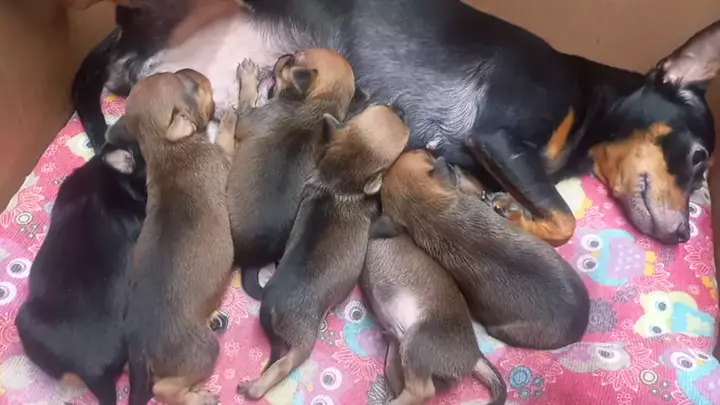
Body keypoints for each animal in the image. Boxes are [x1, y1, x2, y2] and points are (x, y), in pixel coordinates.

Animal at [117, 69, 237, 405]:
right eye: (194, 87)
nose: (197, 73)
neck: (165, 147)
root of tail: (139, 343)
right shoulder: (221, 157)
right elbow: (226, 140)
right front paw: (230, 118)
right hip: (203, 351)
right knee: (165, 389)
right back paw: (201, 397)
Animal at [227, 49, 362, 299]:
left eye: (292, 61)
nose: (285, 54)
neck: (320, 104)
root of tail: (254, 260)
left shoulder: (247, 116)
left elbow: (247, 98)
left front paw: (249, 76)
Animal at [237, 103, 409, 400]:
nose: (398, 108)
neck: (339, 176)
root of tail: (271, 306)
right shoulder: (375, 222)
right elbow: (386, 222)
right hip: (303, 341)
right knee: (284, 365)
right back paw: (255, 387)